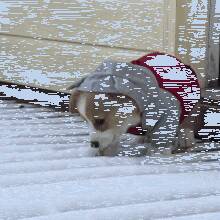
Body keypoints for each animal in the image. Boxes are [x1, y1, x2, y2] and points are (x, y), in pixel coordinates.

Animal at [68, 52, 201, 156]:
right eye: (86, 121)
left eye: (100, 121)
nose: (94, 144)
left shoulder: (167, 113)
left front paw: (158, 154)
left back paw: (185, 137)